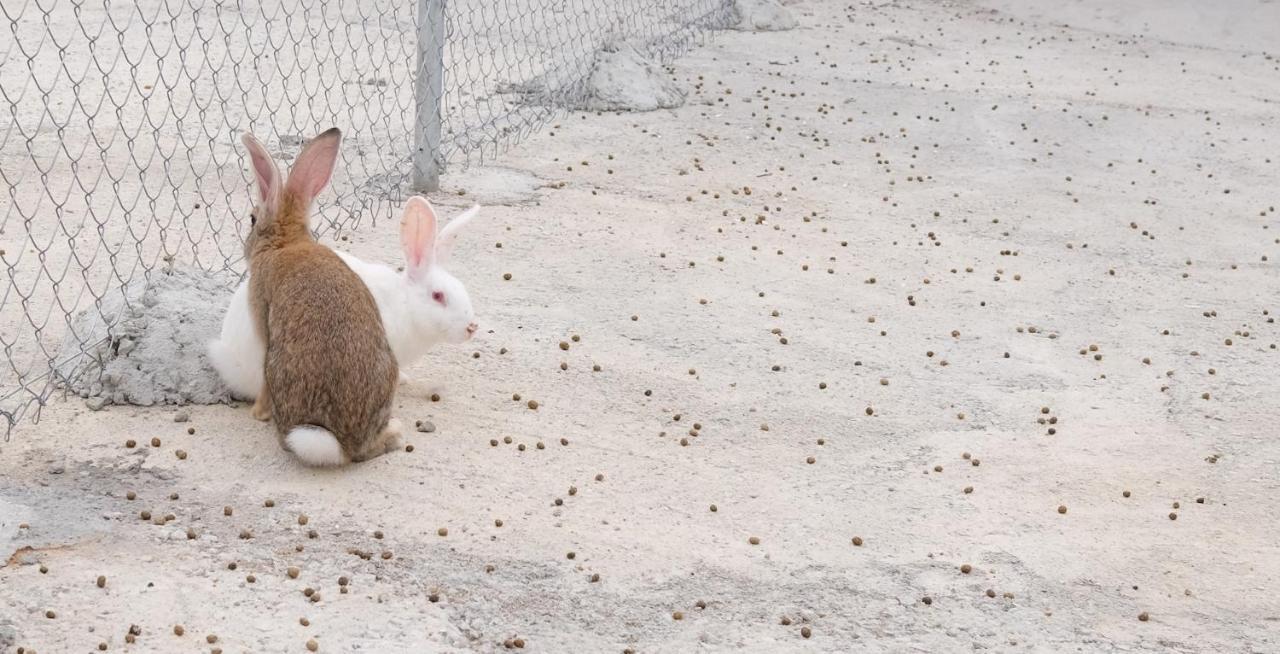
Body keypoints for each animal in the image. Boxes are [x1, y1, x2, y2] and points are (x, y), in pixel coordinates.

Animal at [240, 127, 399, 465]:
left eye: (252, 219)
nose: (246, 245)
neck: (286, 242)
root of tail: (342, 442)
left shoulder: (262, 319)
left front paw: (257, 413)